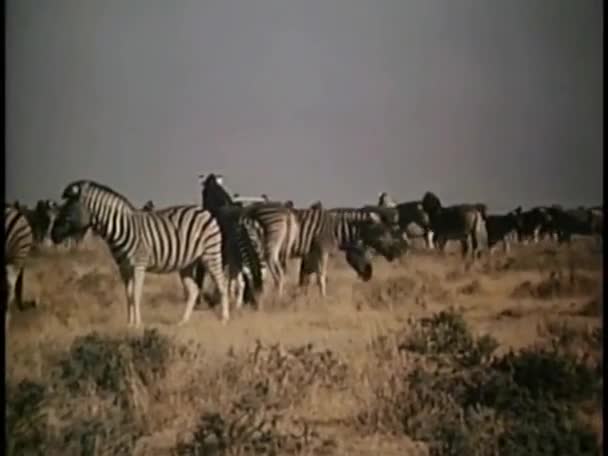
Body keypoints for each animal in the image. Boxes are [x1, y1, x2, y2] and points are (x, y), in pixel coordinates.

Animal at [50, 180, 233, 326]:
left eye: (67, 211)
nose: (53, 236)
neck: (121, 229)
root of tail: (204, 211)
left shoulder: (139, 265)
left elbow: (136, 294)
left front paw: (138, 324)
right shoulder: (124, 268)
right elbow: (128, 295)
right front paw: (129, 324)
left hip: (211, 254)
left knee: (222, 284)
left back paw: (224, 319)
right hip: (187, 263)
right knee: (194, 290)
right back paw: (183, 322)